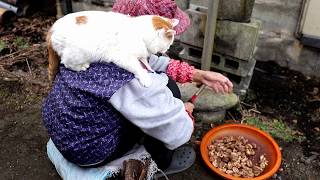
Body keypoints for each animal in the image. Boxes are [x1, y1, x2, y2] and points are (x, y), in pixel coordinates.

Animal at [46, 10, 179, 87]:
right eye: (169, 44)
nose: (167, 50)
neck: (138, 33)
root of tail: (51, 30)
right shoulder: (124, 58)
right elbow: (138, 68)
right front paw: (145, 78)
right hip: (78, 53)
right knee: (66, 63)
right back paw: (82, 66)